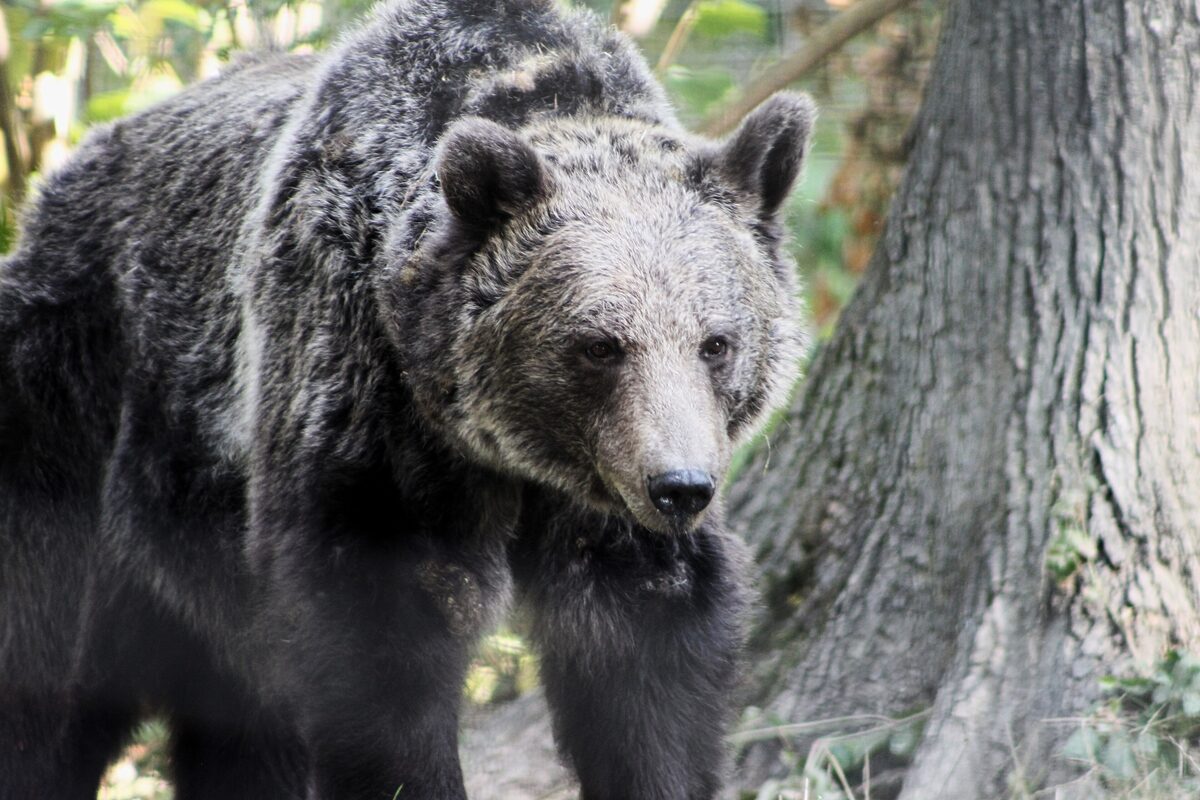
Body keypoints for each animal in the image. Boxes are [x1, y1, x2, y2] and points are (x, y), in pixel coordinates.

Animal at [0, 0, 813, 797]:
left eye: (716, 342)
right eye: (600, 345)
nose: (680, 486)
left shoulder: (606, 500)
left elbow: (648, 664)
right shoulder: (367, 408)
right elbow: (382, 650)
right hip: (76, 413)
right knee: (44, 672)